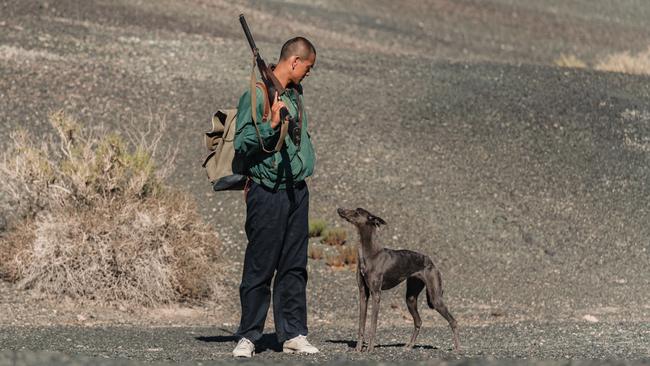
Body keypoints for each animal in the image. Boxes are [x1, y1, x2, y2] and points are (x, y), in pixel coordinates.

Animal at [336, 206, 458, 352]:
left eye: (357, 212)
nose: (339, 209)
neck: (370, 254)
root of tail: (432, 262)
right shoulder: (363, 293)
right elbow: (361, 324)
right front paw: (358, 349)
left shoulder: (376, 294)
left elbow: (373, 324)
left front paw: (370, 349)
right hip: (411, 297)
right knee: (418, 321)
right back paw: (409, 345)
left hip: (435, 298)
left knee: (453, 321)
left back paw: (458, 348)